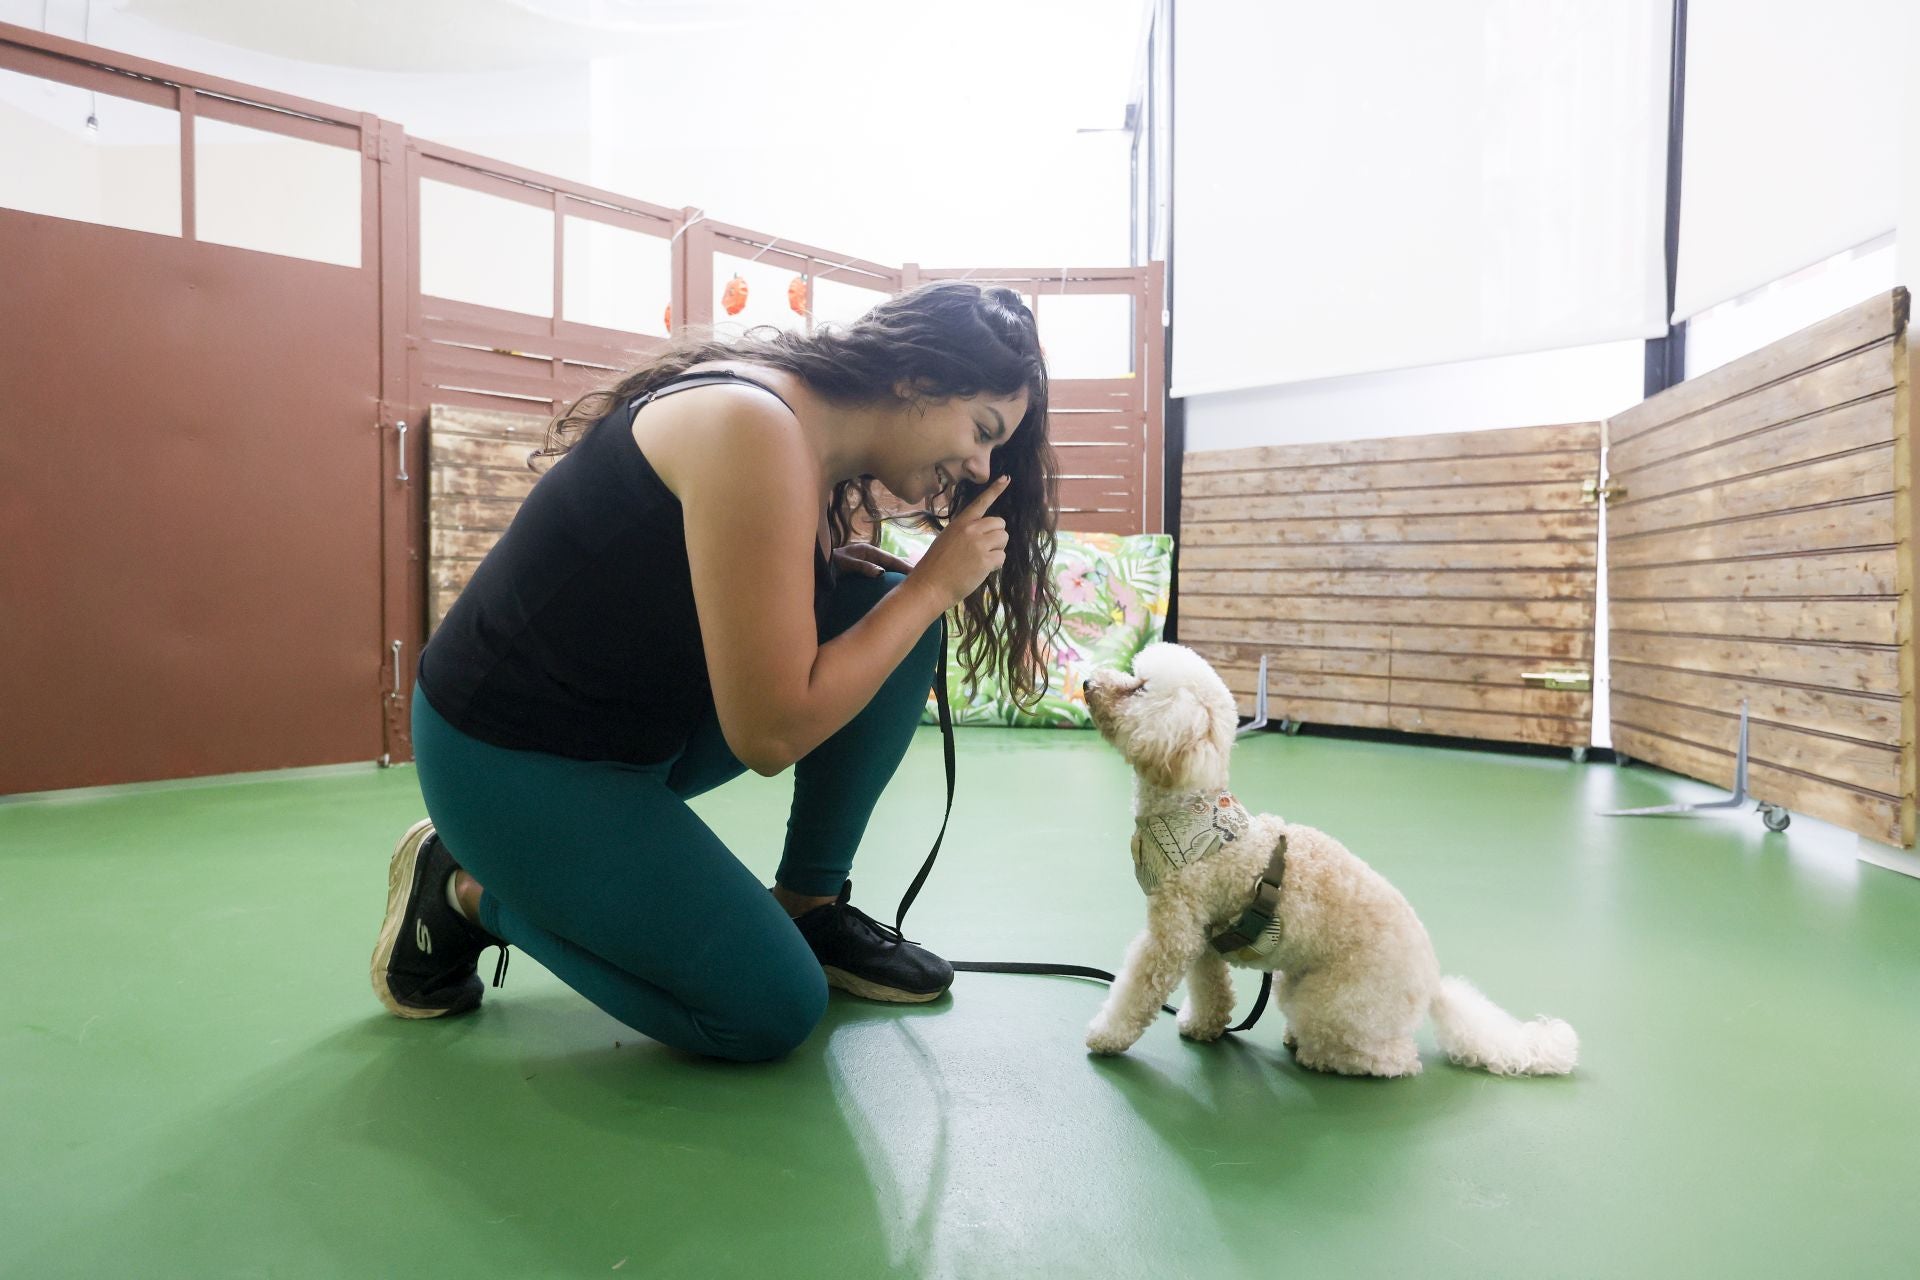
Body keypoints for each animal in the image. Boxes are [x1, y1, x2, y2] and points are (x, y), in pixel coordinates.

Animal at [1082, 644, 1574, 1074]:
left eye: (1140, 687)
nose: (1087, 682)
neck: (1190, 808)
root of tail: (1432, 983)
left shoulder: (1172, 935)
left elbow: (1137, 990)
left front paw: (1106, 1036)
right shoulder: (1202, 932)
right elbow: (1211, 988)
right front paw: (1203, 1026)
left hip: (1333, 1002)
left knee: (1395, 1060)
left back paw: (1320, 1056)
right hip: (1296, 982)